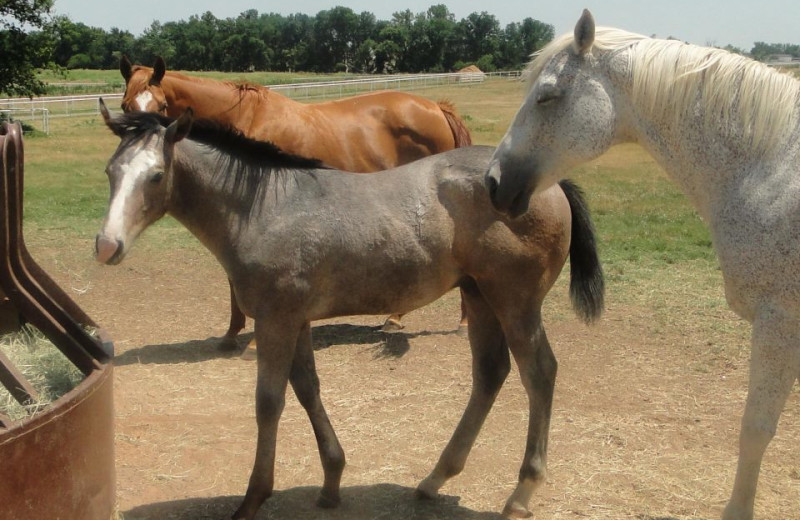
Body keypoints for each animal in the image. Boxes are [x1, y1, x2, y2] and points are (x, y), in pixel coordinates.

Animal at [94, 105, 604, 520]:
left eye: (156, 175)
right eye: (111, 171)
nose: (106, 246)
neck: (264, 208)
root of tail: (549, 184)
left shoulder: (276, 321)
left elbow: (269, 403)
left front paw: (253, 498)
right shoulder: (296, 320)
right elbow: (307, 390)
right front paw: (332, 482)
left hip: (516, 303)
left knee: (539, 373)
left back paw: (520, 493)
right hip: (479, 298)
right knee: (490, 373)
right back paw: (434, 479)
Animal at [120, 55, 476, 350]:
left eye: (161, 105)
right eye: (124, 105)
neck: (246, 119)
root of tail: (436, 108)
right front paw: (231, 334)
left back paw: (459, 322)